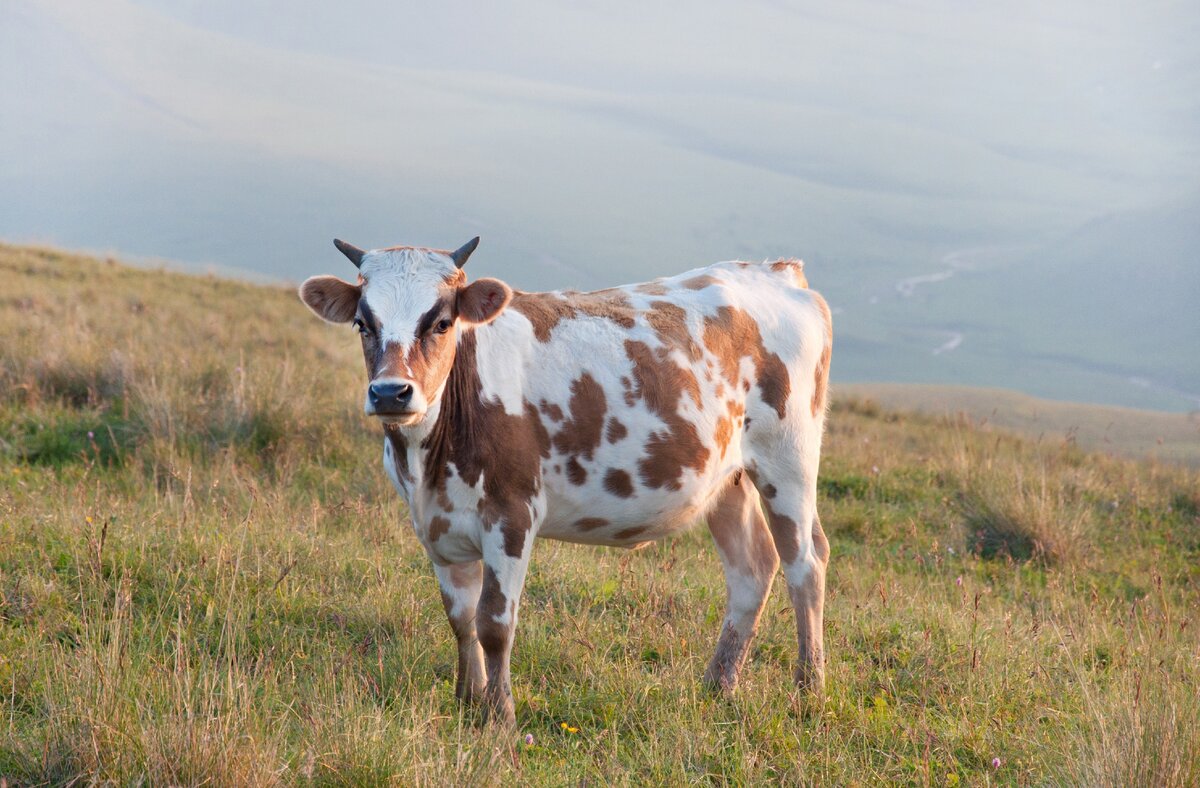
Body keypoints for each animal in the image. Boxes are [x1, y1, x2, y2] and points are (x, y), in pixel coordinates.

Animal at [297, 236, 835, 724]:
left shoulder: (512, 515)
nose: (391, 392)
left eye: (442, 322)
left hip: (788, 461)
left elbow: (494, 623)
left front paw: (500, 719)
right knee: (752, 568)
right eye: (363, 323)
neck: (429, 459)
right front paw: (467, 703)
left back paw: (808, 691)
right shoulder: (434, 524)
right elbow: (460, 618)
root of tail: (776, 271)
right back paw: (718, 686)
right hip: (727, 477)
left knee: (805, 563)